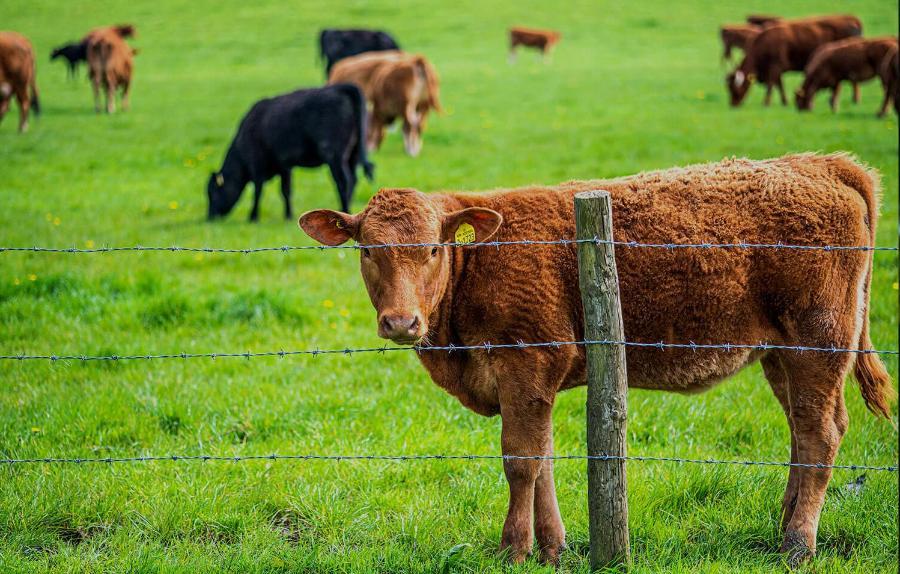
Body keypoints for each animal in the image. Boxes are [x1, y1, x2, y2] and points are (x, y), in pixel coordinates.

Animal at [207, 83, 372, 223]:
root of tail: (340, 87)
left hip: (334, 154)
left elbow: (258, 191)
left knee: (344, 182)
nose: (210, 217)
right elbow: (286, 190)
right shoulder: (284, 165)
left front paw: (253, 217)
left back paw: (343, 210)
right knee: (353, 180)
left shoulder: (257, 165)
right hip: (353, 154)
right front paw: (288, 215)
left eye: (213, 192)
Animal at [298, 152, 892, 568]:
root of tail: (821, 164)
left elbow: (521, 461)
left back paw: (798, 543)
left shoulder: (528, 362)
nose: (401, 323)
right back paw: (783, 524)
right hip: (781, 354)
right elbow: (543, 460)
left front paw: (513, 549)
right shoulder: (532, 381)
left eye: (432, 249)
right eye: (367, 249)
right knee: (801, 431)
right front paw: (552, 548)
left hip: (820, 342)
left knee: (820, 433)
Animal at [724, 14, 864, 107]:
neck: (764, 44)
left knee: (853, 80)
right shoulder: (777, 70)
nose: (733, 104)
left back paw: (855, 100)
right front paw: (784, 102)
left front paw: (766, 103)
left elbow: (771, 85)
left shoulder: (775, 67)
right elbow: (779, 84)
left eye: (733, 88)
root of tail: (853, 19)